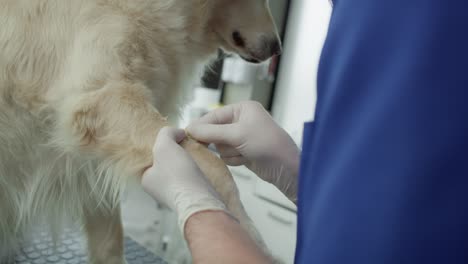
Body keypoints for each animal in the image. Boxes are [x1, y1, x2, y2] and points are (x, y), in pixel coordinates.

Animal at [0, 0, 282, 262]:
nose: (277, 48)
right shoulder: (101, 100)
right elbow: (215, 166)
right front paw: (252, 238)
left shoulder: (96, 156)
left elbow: (109, 238)